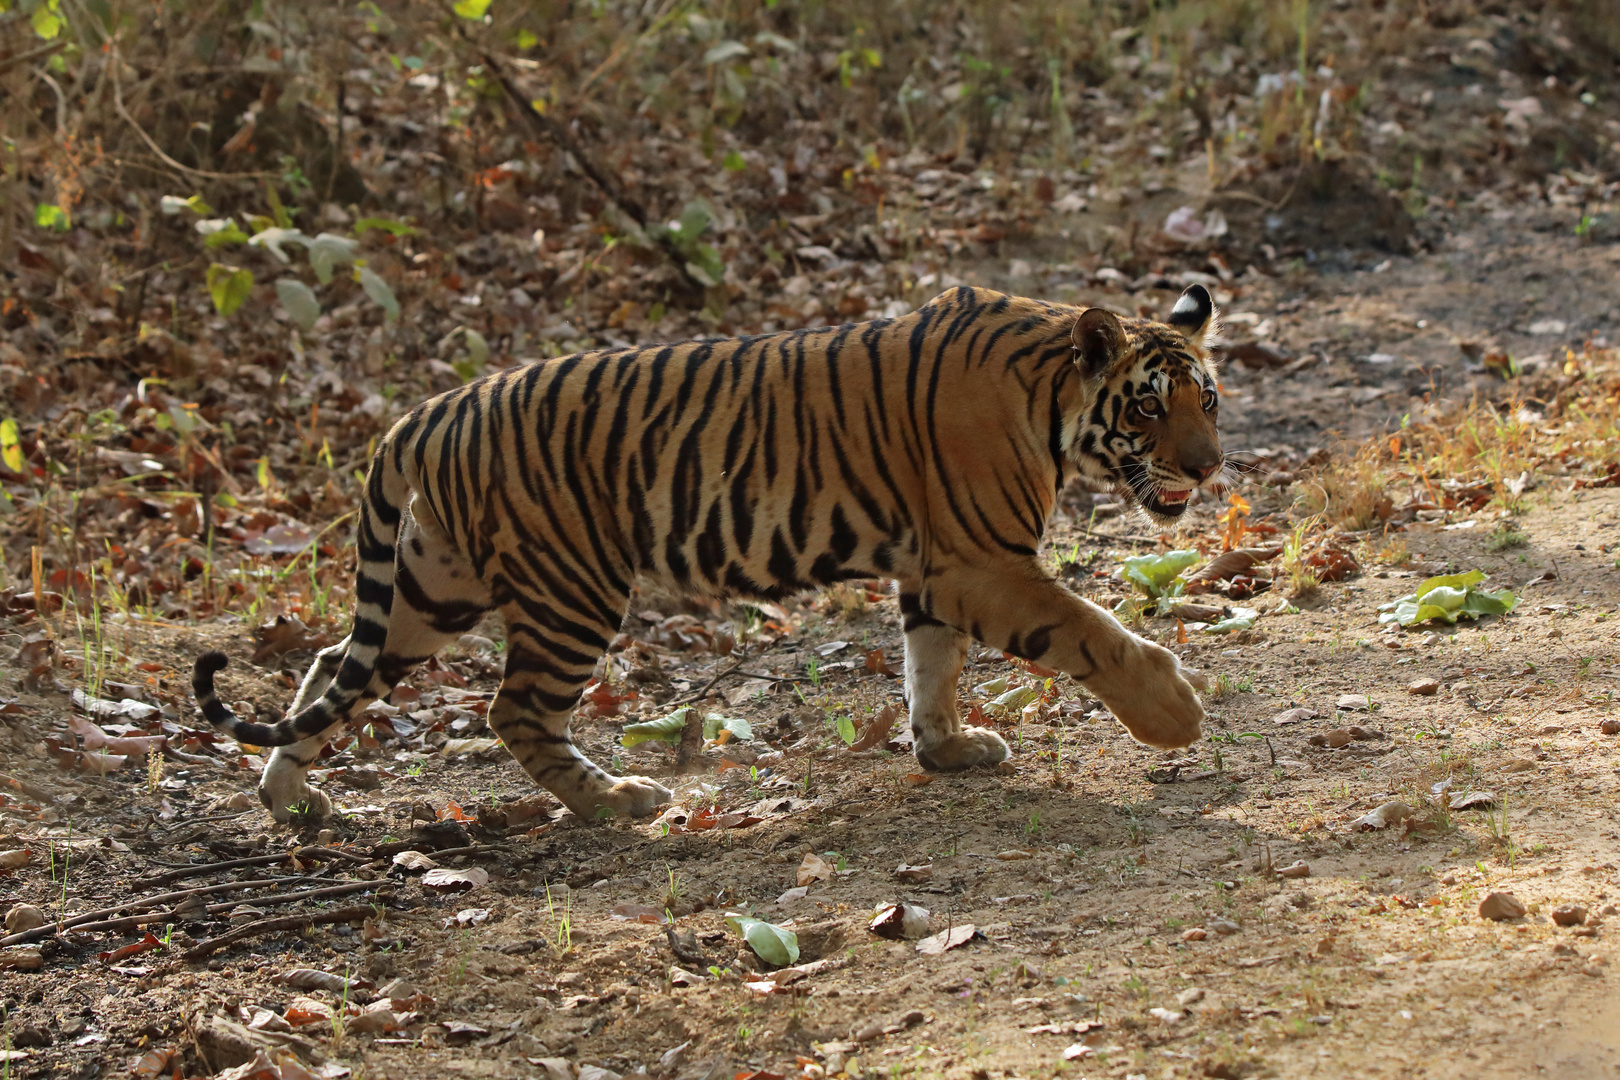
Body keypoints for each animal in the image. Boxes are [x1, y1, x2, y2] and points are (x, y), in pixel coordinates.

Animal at [192, 283, 1218, 822]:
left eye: (1207, 398)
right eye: (1148, 407)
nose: (1210, 467)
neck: (1053, 401)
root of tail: (425, 413)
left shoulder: (935, 573)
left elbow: (932, 669)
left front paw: (948, 750)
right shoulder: (980, 562)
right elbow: (1087, 629)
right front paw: (1173, 714)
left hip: (431, 587)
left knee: (333, 662)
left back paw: (289, 798)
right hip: (572, 589)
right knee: (513, 707)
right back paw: (617, 799)